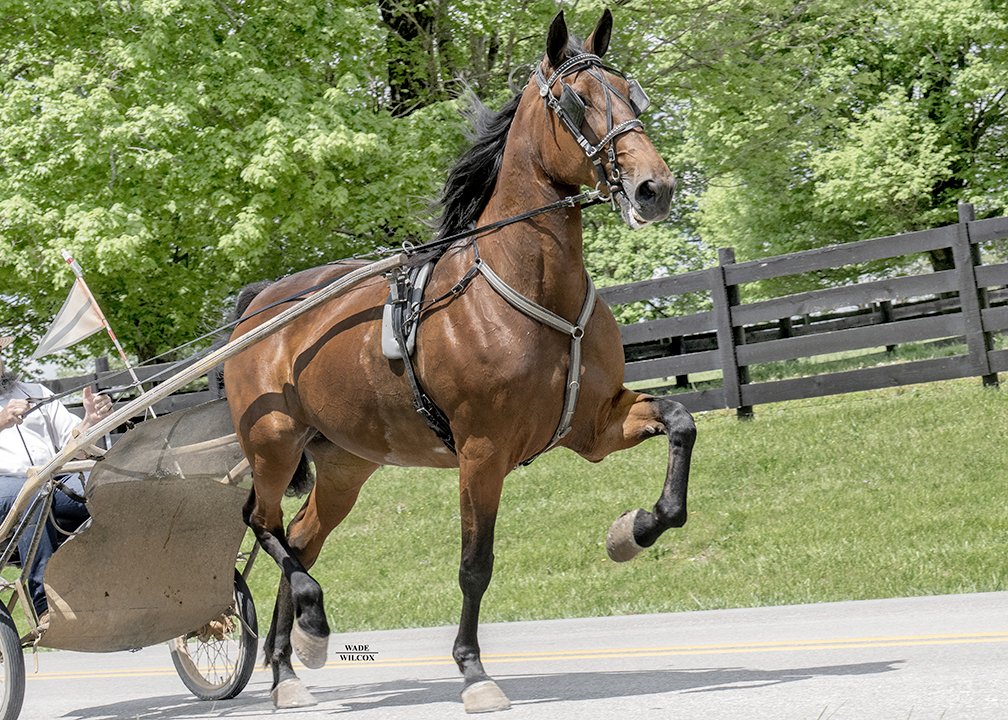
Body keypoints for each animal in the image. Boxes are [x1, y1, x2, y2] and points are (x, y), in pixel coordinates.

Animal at [224, 9, 695, 713]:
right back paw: (309, 619)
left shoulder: (595, 426)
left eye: (632, 94)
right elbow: (476, 566)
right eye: (577, 102)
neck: (528, 289)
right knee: (264, 524)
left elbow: (680, 421)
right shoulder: (482, 452)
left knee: (302, 538)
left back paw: (286, 667)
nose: (653, 188)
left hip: (345, 463)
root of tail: (260, 305)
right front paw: (474, 672)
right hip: (273, 444)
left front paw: (633, 530)